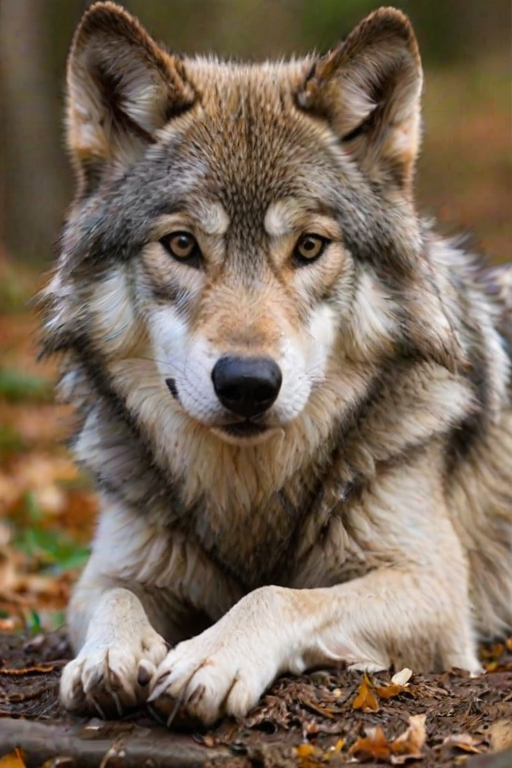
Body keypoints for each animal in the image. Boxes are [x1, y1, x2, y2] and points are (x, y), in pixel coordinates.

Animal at [40, 1, 512, 727]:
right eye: (182, 245)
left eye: (310, 246)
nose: (247, 384)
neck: (250, 495)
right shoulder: (111, 569)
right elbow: (117, 599)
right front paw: (108, 657)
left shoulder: (430, 589)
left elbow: (277, 595)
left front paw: (211, 657)